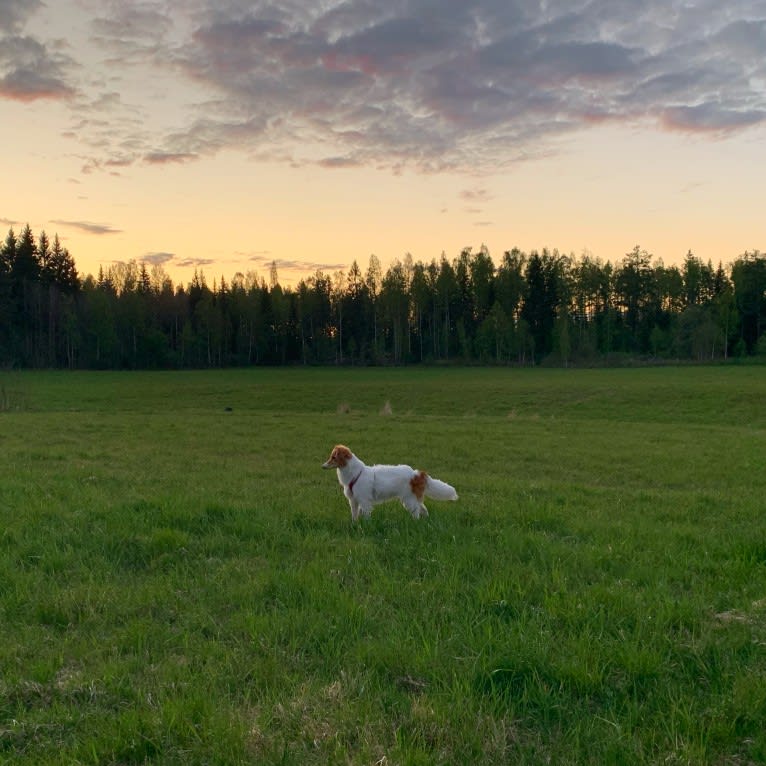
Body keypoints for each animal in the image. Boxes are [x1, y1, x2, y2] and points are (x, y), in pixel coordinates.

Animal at [322, 444, 460, 520]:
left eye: (333, 457)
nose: (322, 466)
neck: (355, 474)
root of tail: (417, 473)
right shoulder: (354, 501)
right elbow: (354, 516)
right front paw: (354, 525)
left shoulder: (364, 501)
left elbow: (365, 516)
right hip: (412, 499)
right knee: (423, 509)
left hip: (409, 500)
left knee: (417, 512)